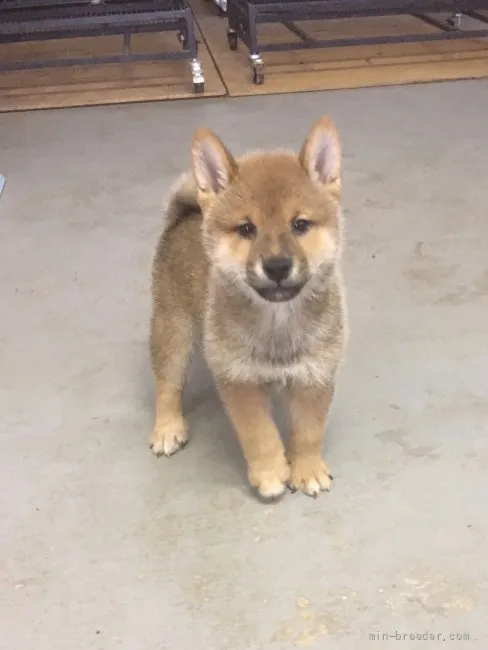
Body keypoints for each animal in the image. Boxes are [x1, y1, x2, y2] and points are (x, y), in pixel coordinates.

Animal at [149, 116, 346, 498]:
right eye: (246, 229)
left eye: (300, 224)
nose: (277, 266)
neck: (277, 322)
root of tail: (184, 216)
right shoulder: (238, 380)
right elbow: (260, 435)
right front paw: (271, 474)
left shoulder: (314, 375)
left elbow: (308, 431)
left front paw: (307, 469)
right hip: (172, 330)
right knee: (168, 383)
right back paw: (167, 427)